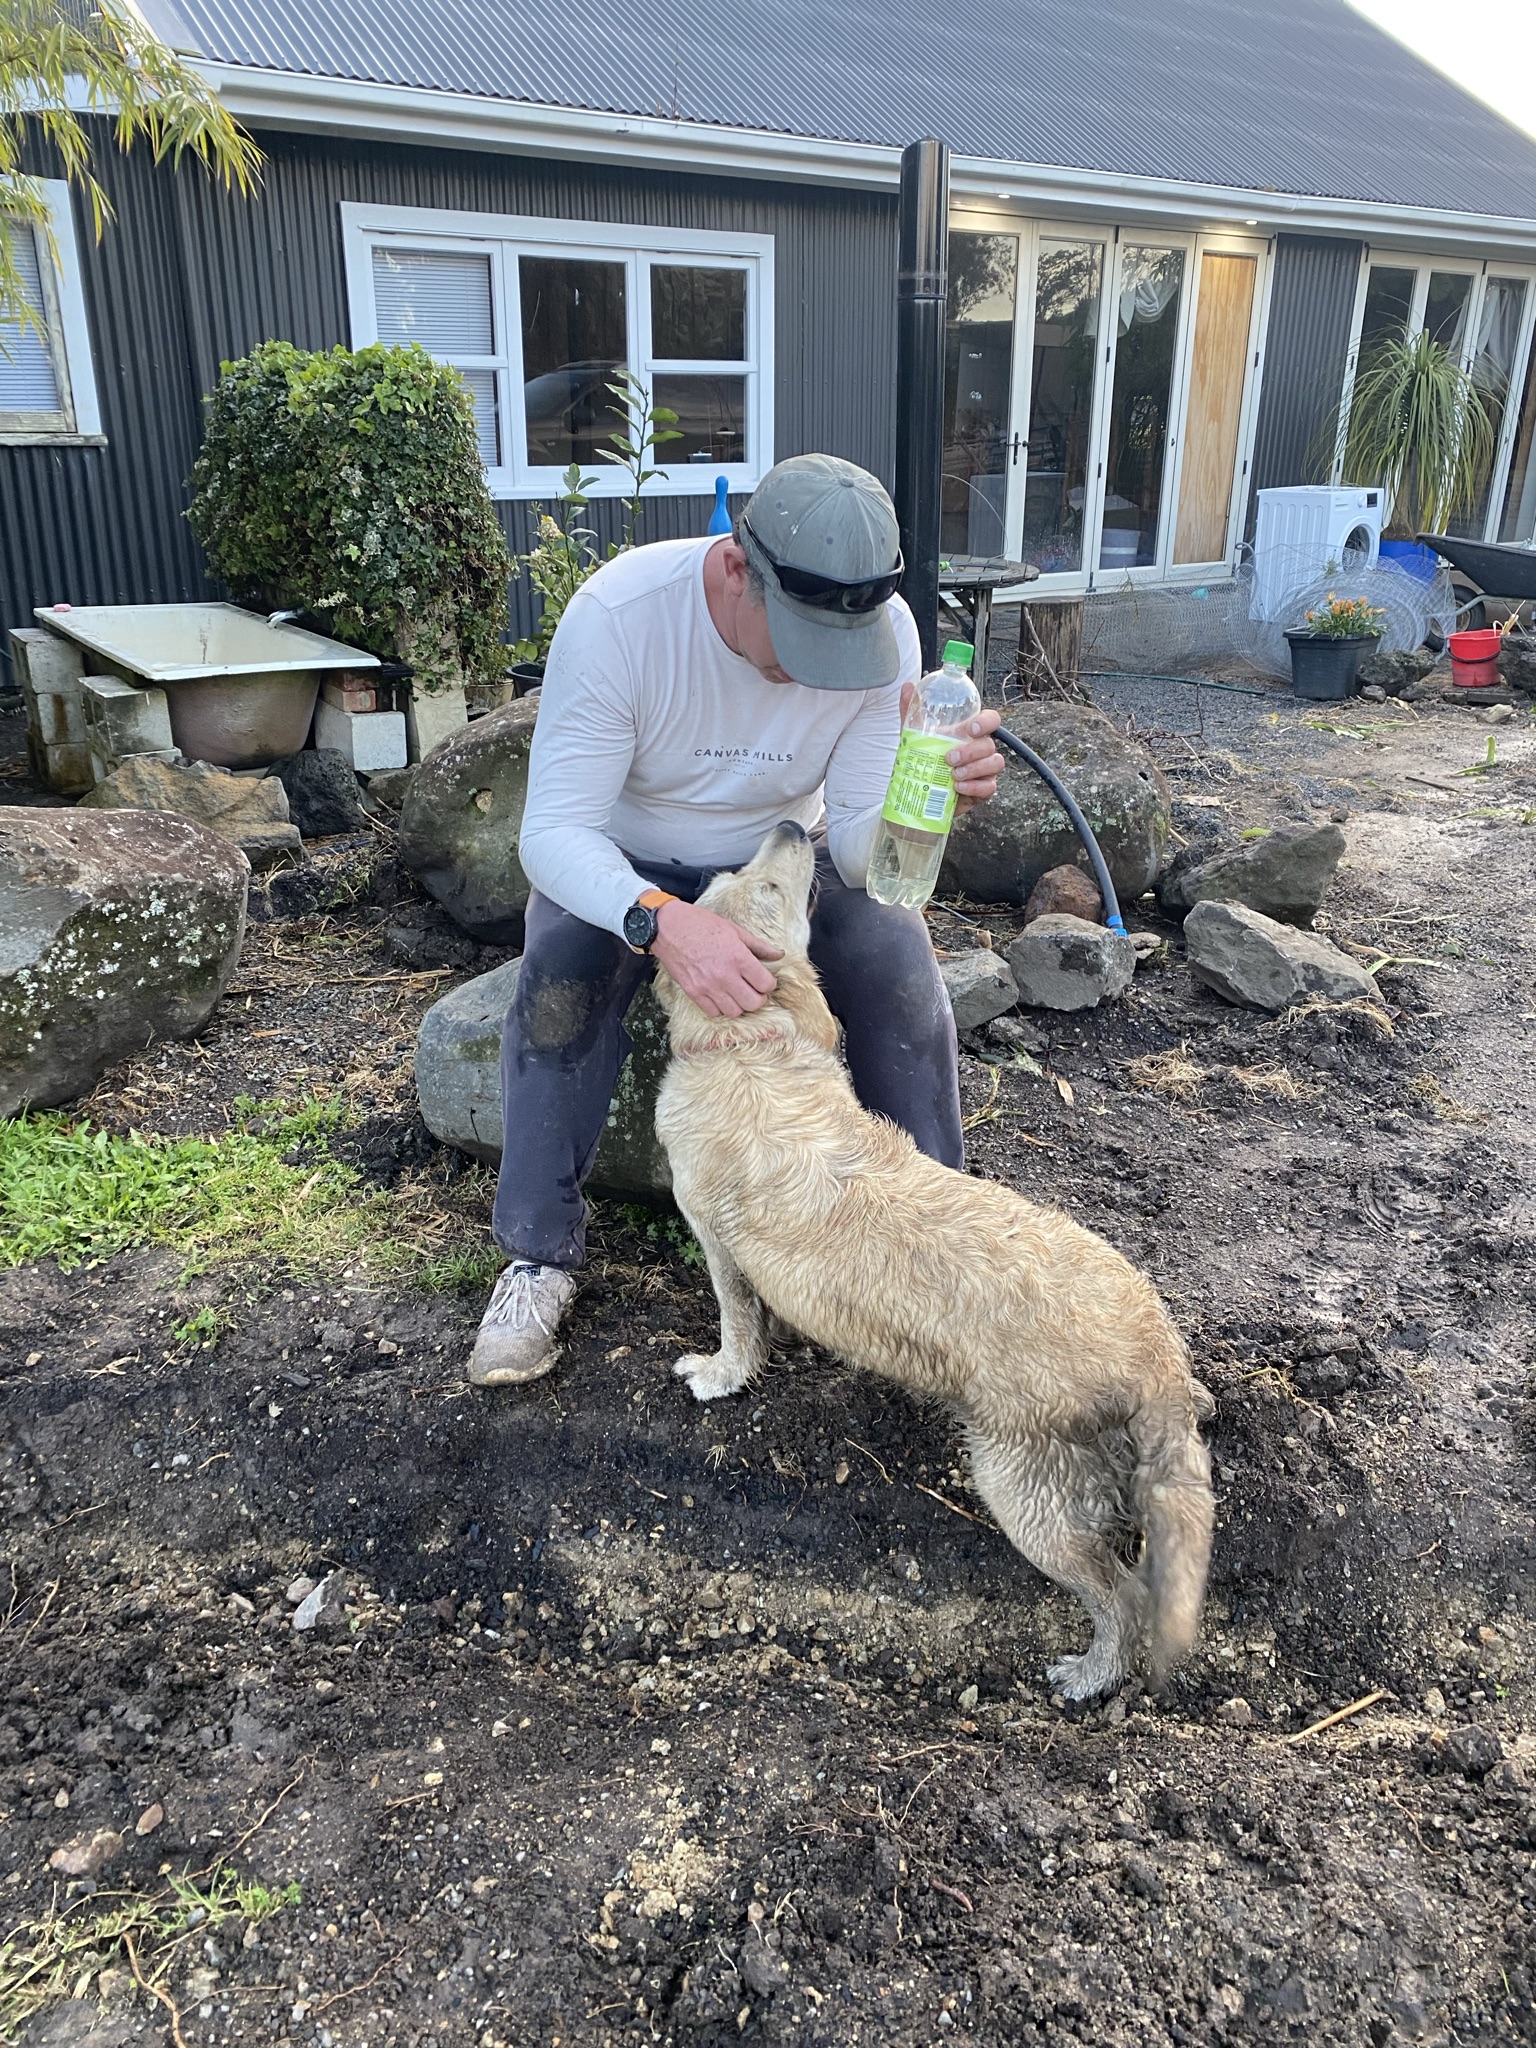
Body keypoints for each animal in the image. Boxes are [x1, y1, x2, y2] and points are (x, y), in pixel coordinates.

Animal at [651, 815, 1212, 1695]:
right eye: (727, 881)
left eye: (766, 886)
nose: (790, 824)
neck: (749, 1047)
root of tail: (1150, 1351)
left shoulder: (717, 1244)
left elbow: (737, 1327)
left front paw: (717, 1374)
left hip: (1026, 1491)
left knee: (1118, 1594)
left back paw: (1091, 1674)